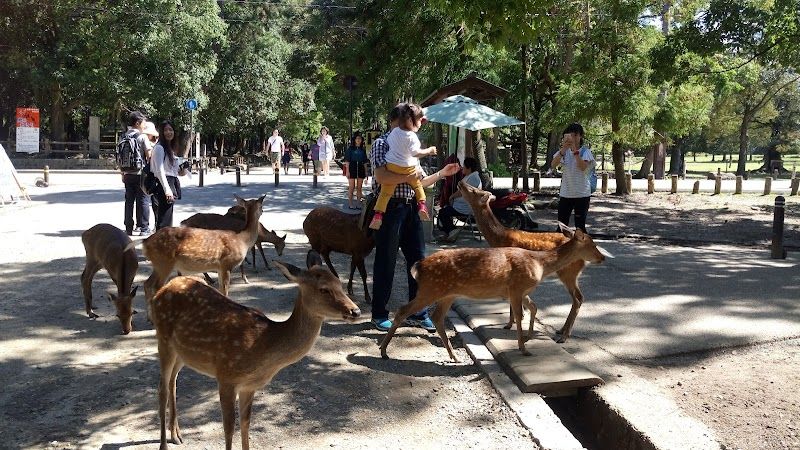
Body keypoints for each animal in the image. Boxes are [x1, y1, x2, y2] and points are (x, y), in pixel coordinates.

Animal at [135, 195, 265, 306]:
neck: (242, 240)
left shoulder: (219, 267)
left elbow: (221, 289)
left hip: (158, 264)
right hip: (164, 263)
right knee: (155, 285)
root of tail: (145, 242)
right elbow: (225, 290)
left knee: (147, 284)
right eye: (261, 206)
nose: (263, 211)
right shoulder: (227, 264)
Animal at [150, 250, 361, 450]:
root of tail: (162, 290)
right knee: (162, 387)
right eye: (323, 289)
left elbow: (246, 424)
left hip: (182, 352)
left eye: (340, 283)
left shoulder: (249, 385)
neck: (264, 345)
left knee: (173, 381)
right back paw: (163, 444)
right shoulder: (226, 376)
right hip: (163, 338)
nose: (356, 311)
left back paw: (176, 435)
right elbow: (229, 428)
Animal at [379, 225, 606, 362]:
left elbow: (532, 308)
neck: (540, 264)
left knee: (436, 317)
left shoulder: (521, 291)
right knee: (403, 310)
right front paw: (524, 348)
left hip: (447, 293)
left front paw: (528, 337)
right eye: (592, 244)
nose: (602, 257)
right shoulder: (516, 288)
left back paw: (453, 356)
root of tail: (418, 266)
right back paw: (383, 351)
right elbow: (520, 315)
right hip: (430, 288)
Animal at [459, 180, 591, 343]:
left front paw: (510, 324)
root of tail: (585, 259)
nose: (461, 182)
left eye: (474, 191)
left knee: (578, 298)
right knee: (578, 298)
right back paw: (561, 330)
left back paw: (564, 337)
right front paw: (511, 323)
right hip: (571, 273)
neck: (500, 237)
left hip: (568, 272)